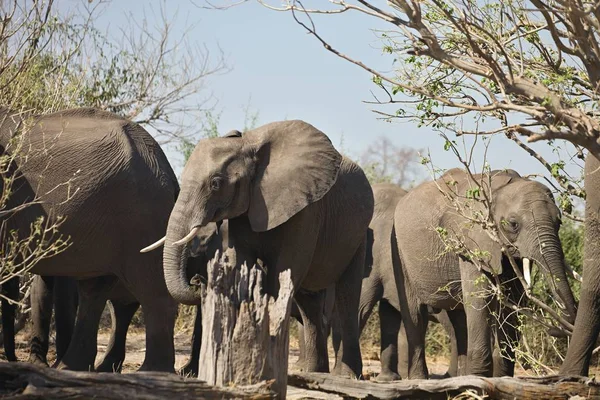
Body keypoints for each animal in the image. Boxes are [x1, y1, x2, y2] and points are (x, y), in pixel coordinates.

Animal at [0, 106, 178, 372]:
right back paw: (69, 367)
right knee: (95, 290)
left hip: (143, 218)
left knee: (151, 290)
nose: (11, 359)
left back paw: (153, 372)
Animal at [142, 119, 372, 378]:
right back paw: (314, 372)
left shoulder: (305, 212)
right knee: (310, 303)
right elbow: (245, 265)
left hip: (359, 233)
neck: (247, 145)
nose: (198, 280)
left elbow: (284, 274)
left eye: (216, 184)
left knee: (348, 296)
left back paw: (346, 375)